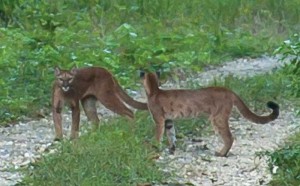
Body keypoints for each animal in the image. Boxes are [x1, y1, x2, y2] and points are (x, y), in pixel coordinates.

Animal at [141, 72, 278, 156]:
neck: (154, 90)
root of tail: (227, 89)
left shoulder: (159, 120)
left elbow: (158, 135)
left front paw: (155, 148)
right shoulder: (168, 121)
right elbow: (171, 135)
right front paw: (172, 149)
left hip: (218, 117)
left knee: (229, 137)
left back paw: (221, 154)